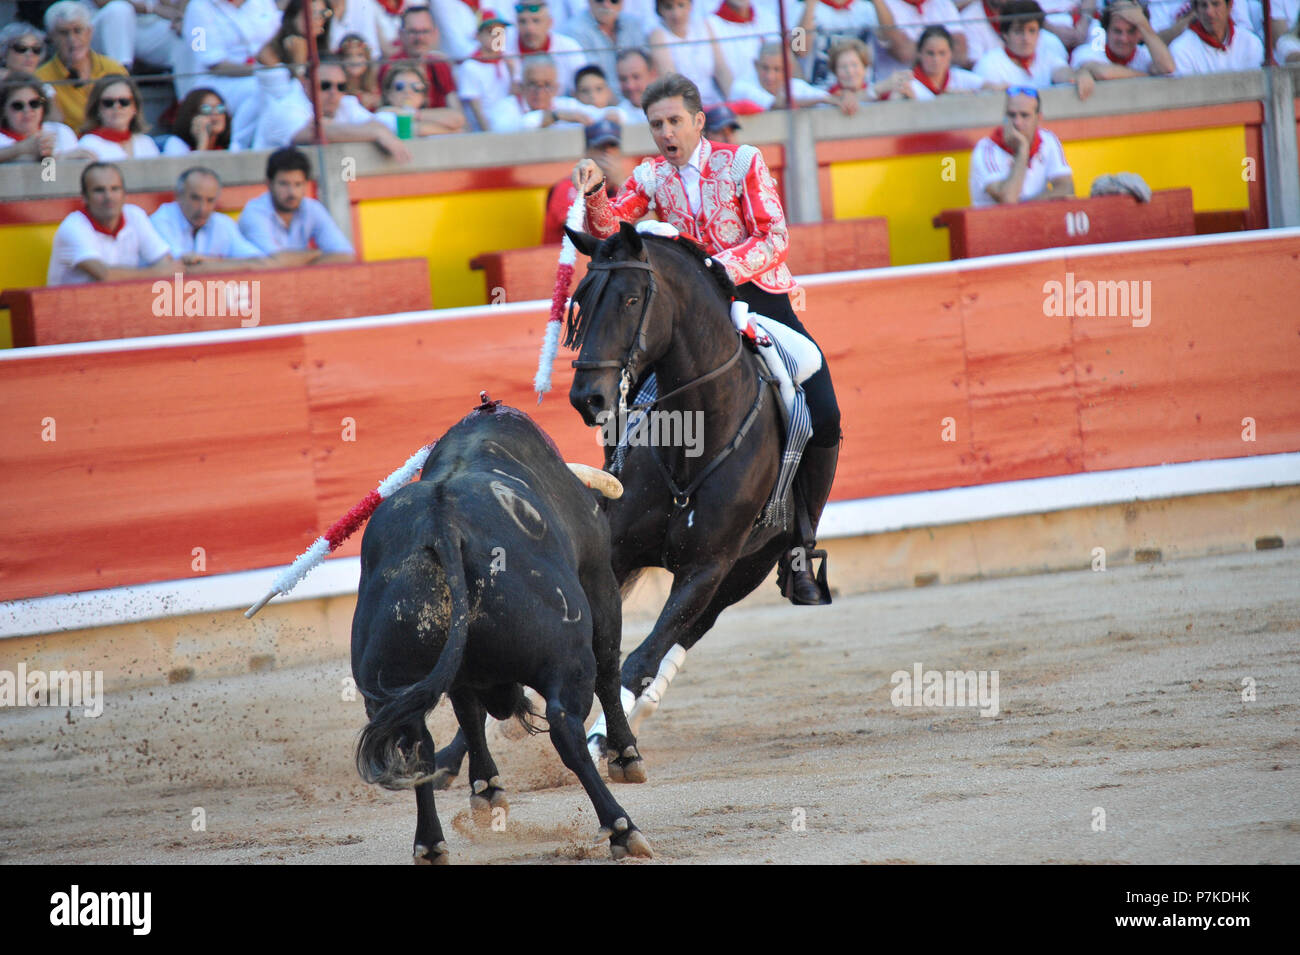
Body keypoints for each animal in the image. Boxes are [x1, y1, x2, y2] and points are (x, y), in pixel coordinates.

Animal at [353, 400, 650, 862]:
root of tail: (443, 526)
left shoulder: (463, 674)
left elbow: (469, 716)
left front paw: (487, 790)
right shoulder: (600, 579)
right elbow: (609, 670)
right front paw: (626, 756)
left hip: (386, 684)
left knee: (416, 746)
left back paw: (430, 843)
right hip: (566, 655)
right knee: (567, 725)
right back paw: (622, 828)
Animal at [436, 222, 821, 784]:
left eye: (632, 299)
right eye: (579, 303)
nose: (587, 398)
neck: (693, 441)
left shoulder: (707, 567)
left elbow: (638, 658)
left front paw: (613, 745)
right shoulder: (610, 552)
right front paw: (454, 753)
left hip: (745, 571)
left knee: (677, 642)